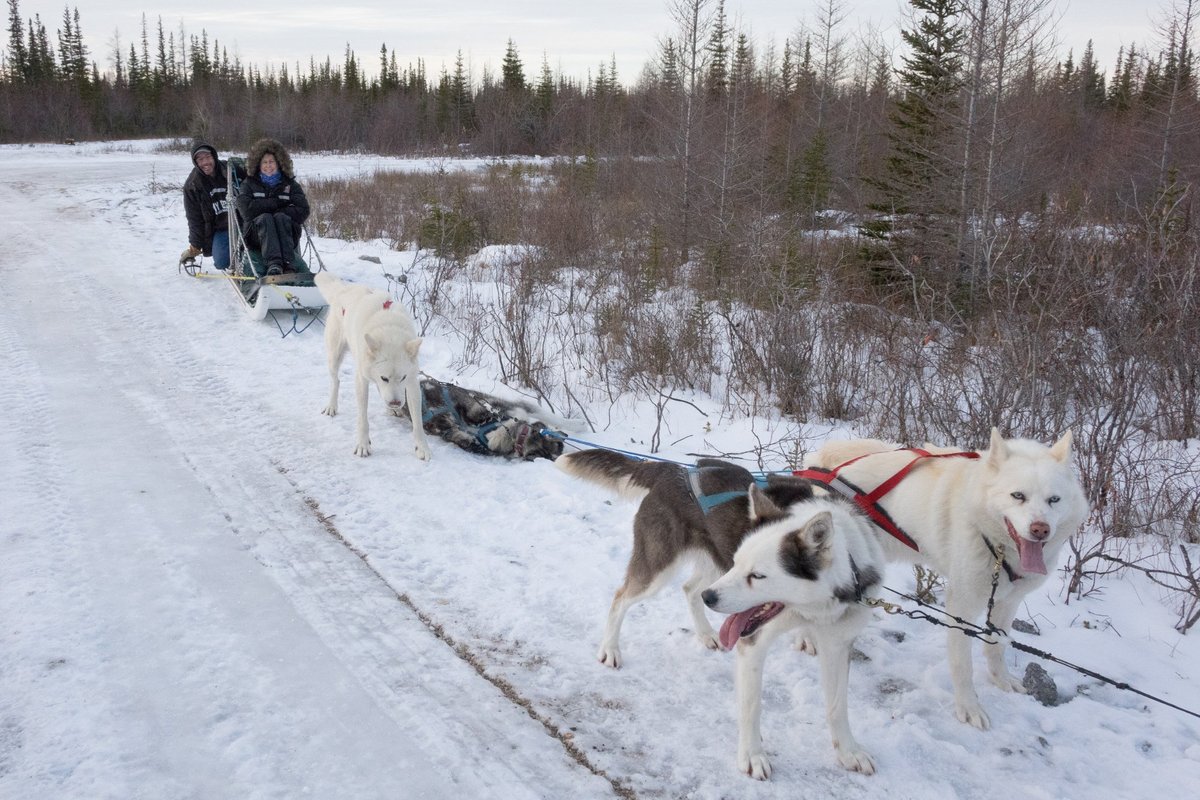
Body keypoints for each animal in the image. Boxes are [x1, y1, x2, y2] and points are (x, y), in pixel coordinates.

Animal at [316, 273, 434, 460]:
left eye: (402, 378)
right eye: (384, 377)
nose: (395, 403)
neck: (389, 330)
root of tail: (344, 289)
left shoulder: (412, 383)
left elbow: (418, 422)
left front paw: (422, 448)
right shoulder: (362, 380)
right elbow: (362, 419)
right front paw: (363, 445)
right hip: (334, 356)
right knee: (336, 381)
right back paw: (332, 406)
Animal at [700, 489, 888, 782]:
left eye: (757, 575)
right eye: (735, 562)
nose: (709, 597)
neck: (811, 607)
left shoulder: (838, 645)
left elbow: (837, 706)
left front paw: (848, 751)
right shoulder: (752, 642)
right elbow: (751, 705)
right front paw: (752, 754)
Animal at [806, 431, 1089, 734]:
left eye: (1054, 499)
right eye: (1018, 495)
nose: (1040, 529)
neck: (998, 548)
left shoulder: (1009, 602)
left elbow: (997, 646)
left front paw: (1001, 679)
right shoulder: (961, 608)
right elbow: (962, 664)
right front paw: (969, 707)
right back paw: (806, 638)